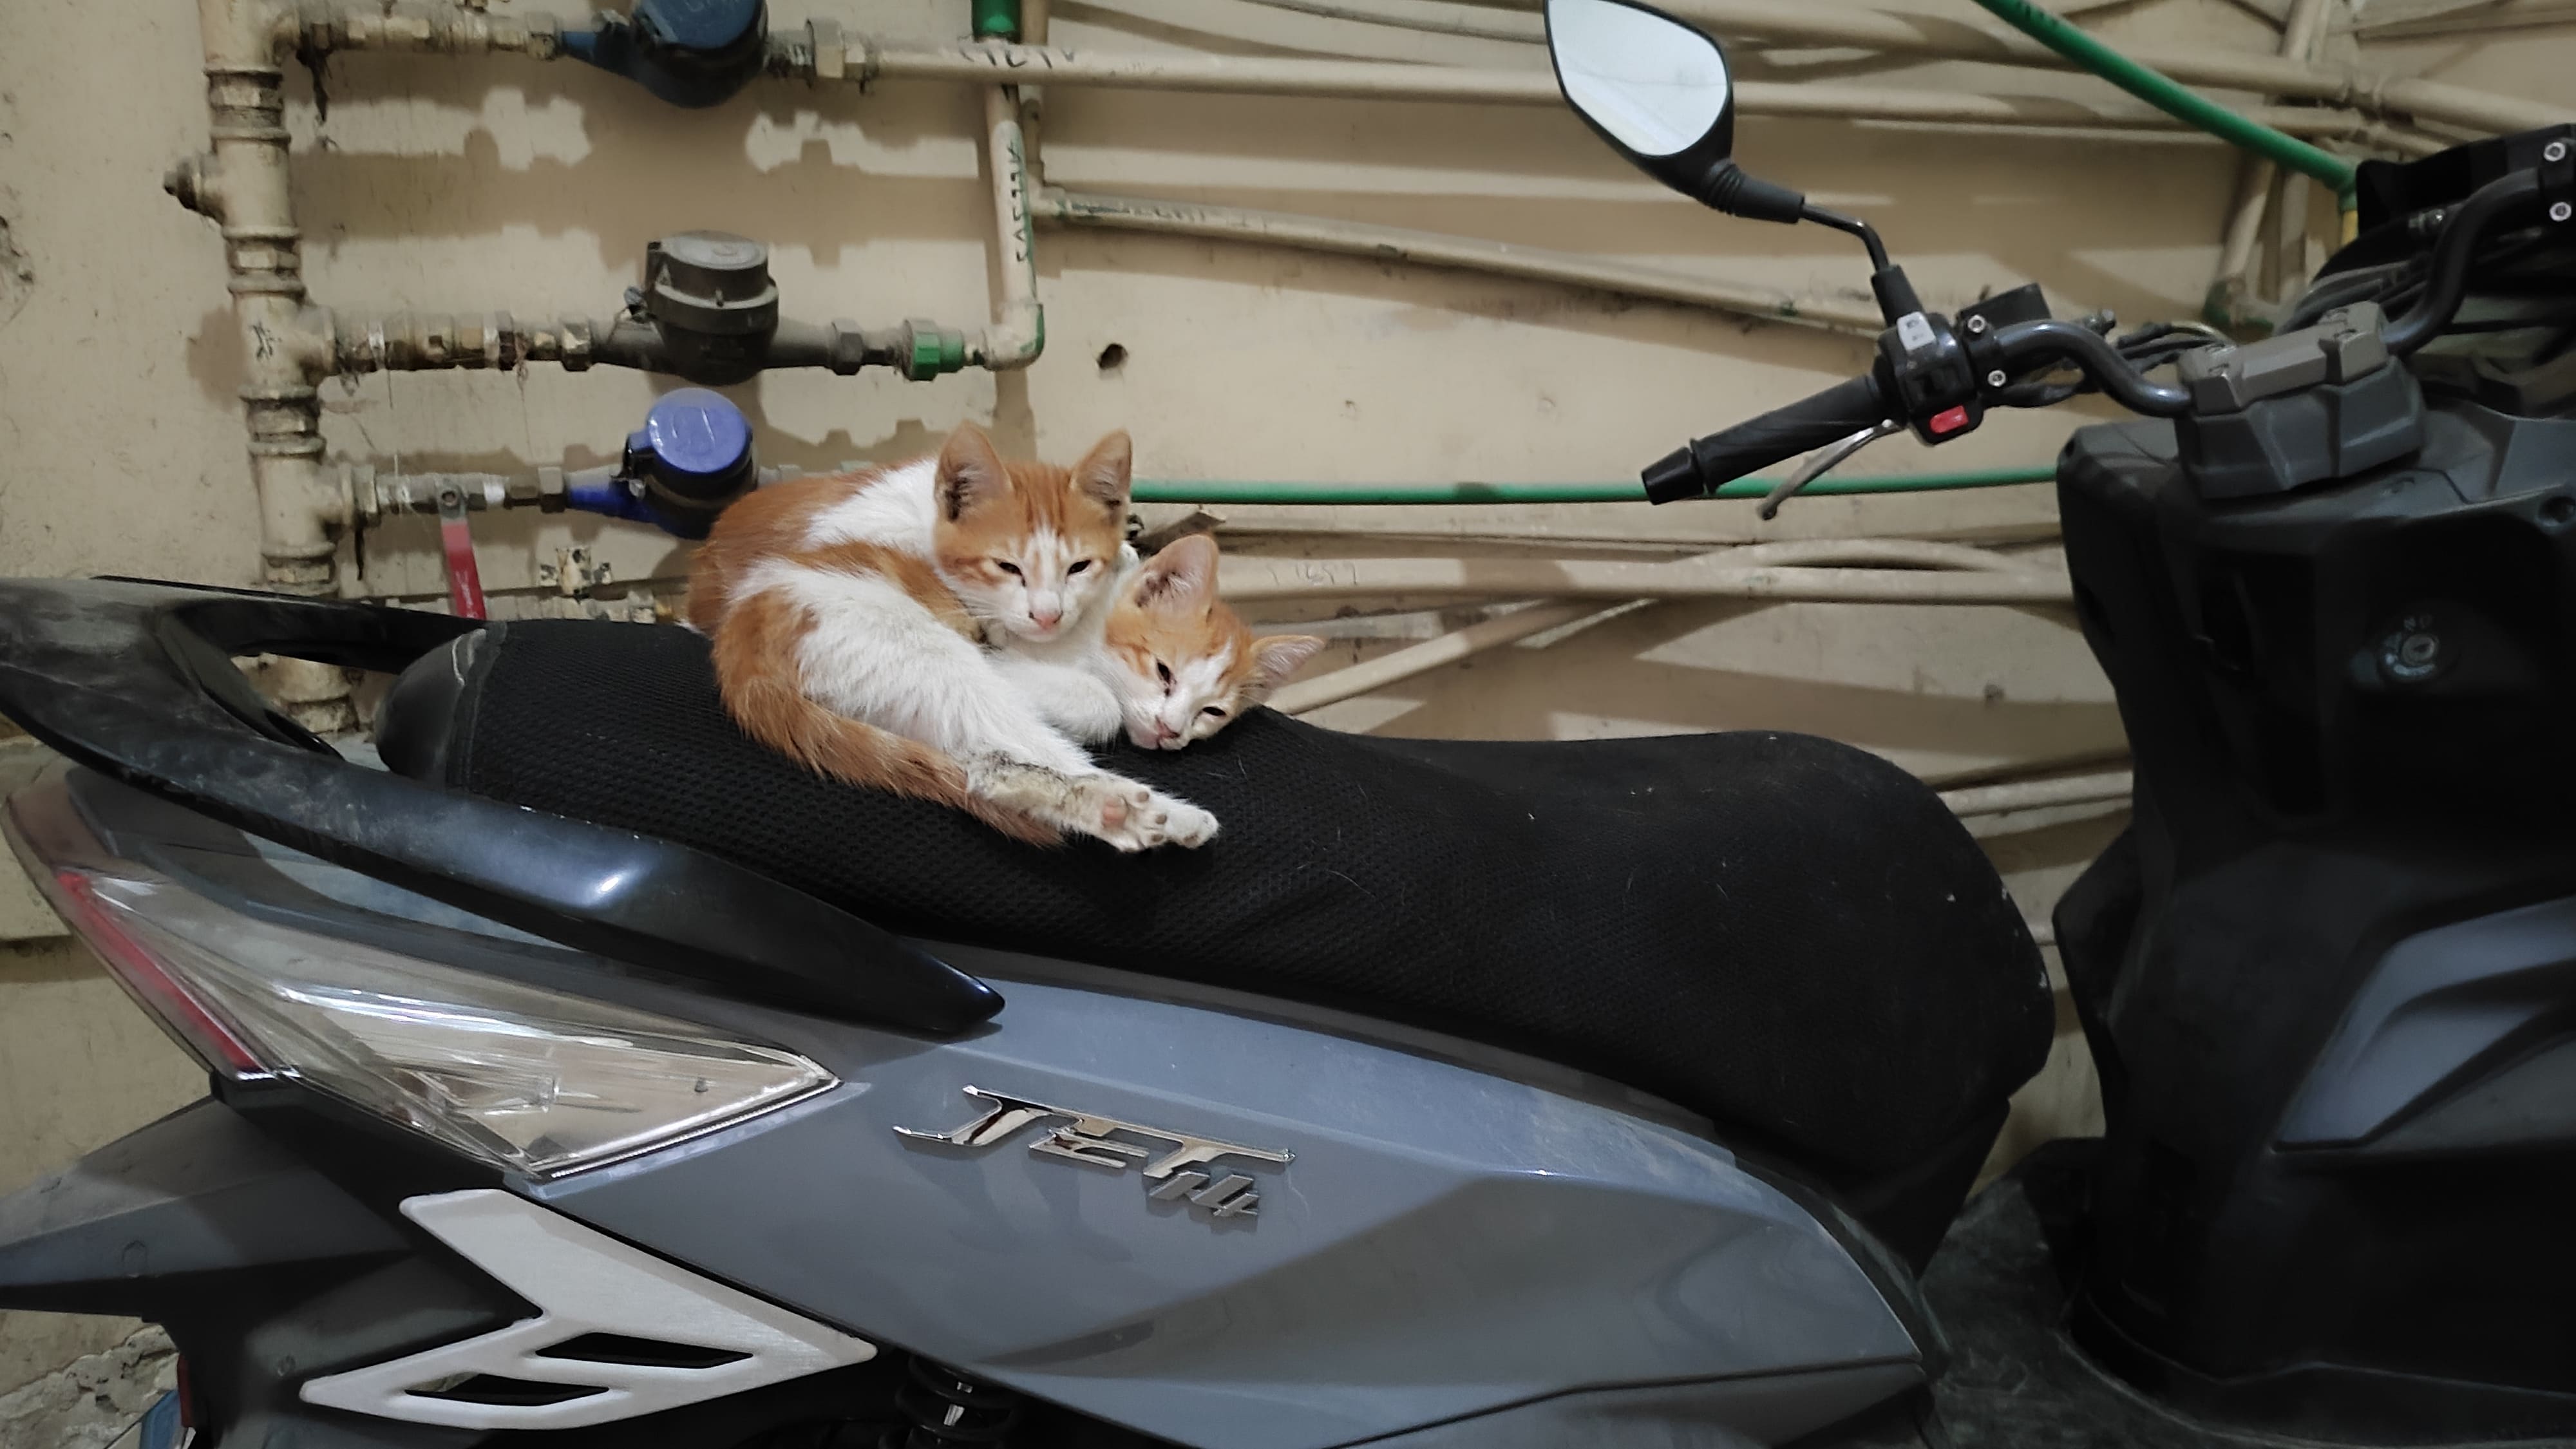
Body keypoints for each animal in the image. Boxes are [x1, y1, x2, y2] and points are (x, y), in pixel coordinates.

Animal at [687, 423, 1218, 851]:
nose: (1047, 616)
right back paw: (1132, 810)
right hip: (916, 652)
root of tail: (738, 645)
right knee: (999, 752)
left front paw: (1128, 556)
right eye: (1007, 566)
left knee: (980, 761)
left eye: (1079, 566)